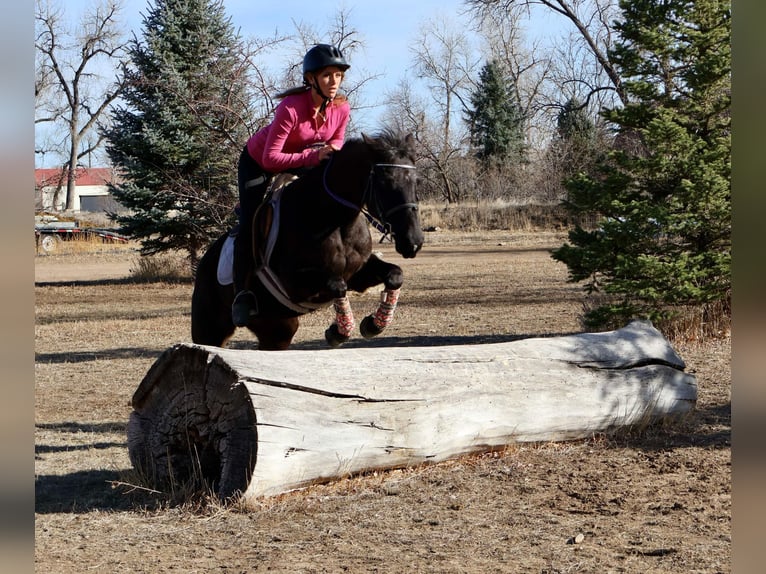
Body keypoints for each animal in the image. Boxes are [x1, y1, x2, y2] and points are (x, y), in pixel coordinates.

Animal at [191, 130, 426, 352]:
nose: (413, 242)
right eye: (385, 182)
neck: (334, 220)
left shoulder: (358, 273)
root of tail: (204, 262)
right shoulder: (294, 283)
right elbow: (337, 285)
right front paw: (339, 331)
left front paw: (373, 324)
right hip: (210, 329)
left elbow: (395, 275)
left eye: (417, 182)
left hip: (277, 329)